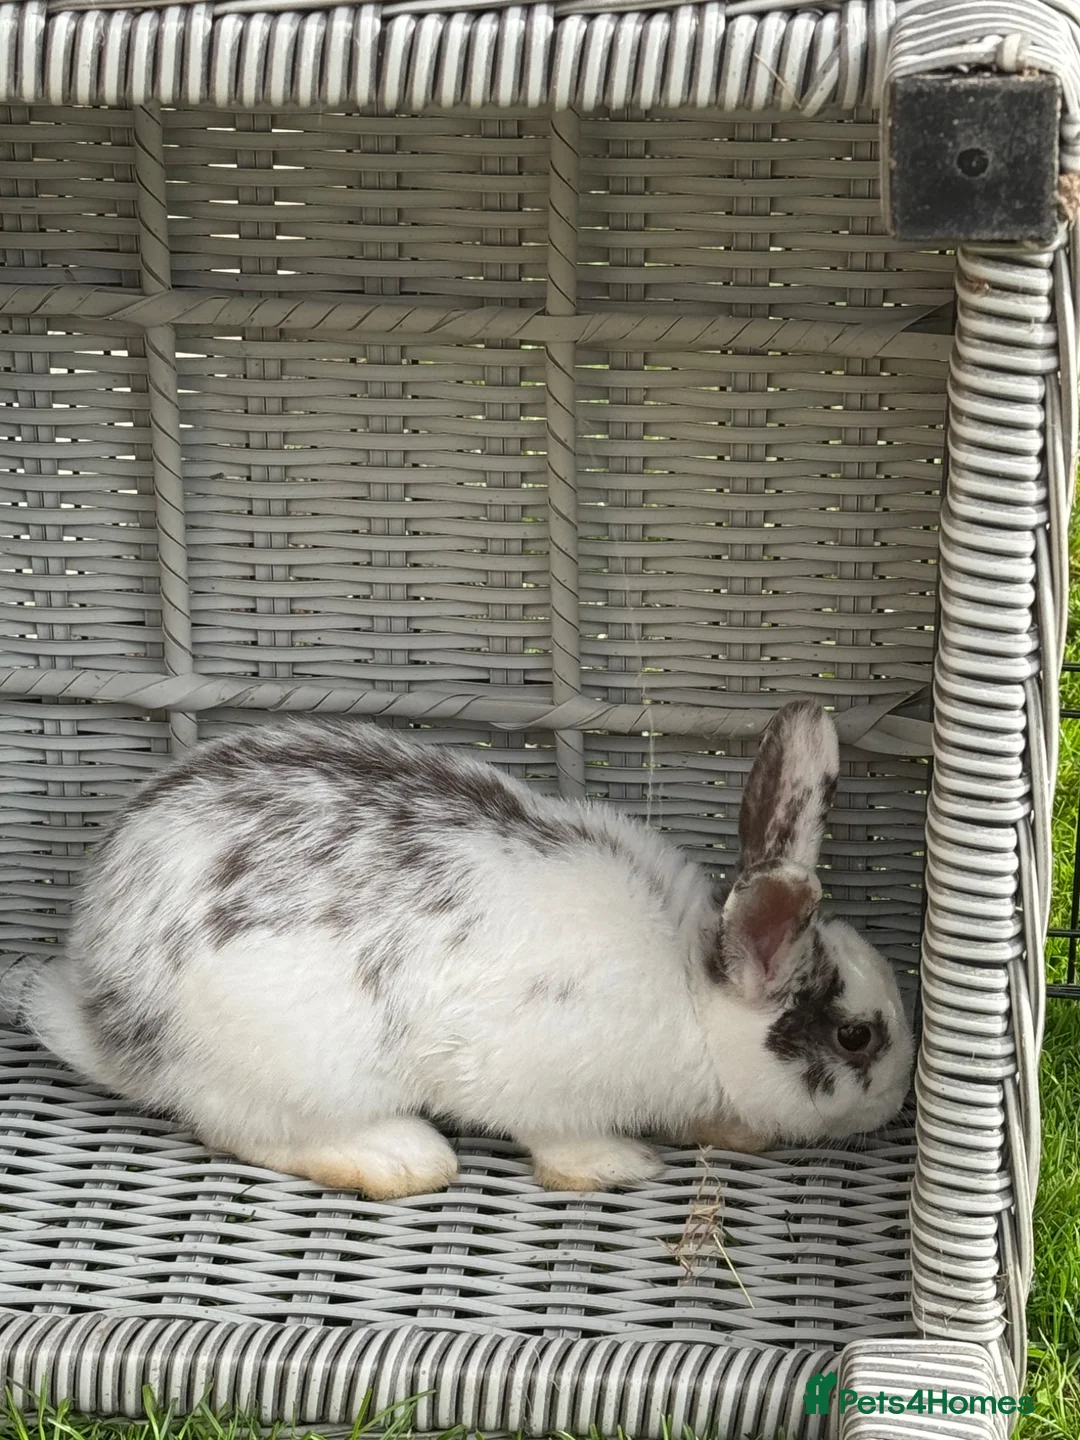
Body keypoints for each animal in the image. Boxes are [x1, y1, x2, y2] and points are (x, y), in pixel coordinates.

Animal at [28, 700, 914, 1199]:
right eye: (856, 1037)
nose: (897, 1101)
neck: (693, 1000)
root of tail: (104, 1011)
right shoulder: (535, 1081)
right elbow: (559, 1141)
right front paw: (616, 1166)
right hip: (295, 1065)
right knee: (243, 1128)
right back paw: (401, 1158)